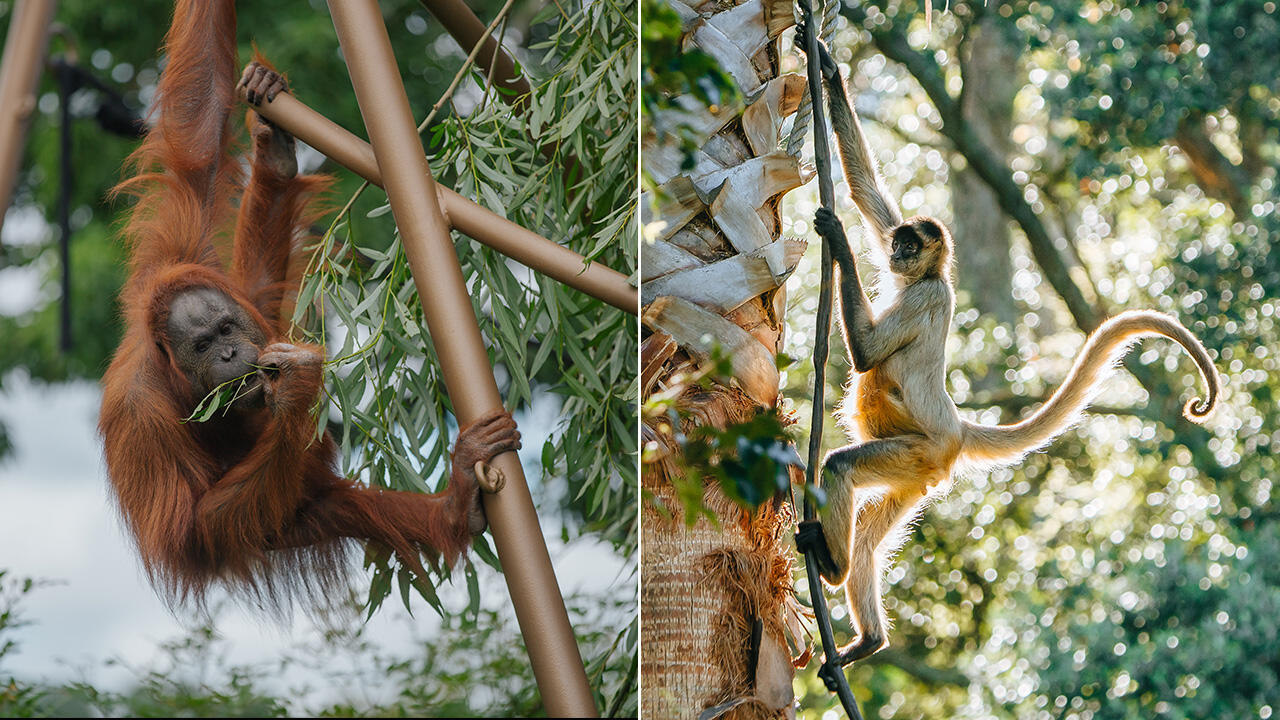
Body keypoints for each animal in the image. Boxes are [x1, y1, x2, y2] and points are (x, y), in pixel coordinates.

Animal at [801, 37, 1220, 664]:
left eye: (909, 246)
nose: (897, 253)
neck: (927, 277)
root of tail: (956, 427)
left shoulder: (927, 294)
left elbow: (868, 355)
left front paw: (839, 241)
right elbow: (865, 191)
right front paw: (825, 65)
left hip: (919, 452)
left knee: (843, 466)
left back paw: (831, 569)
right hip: (917, 477)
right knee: (872, 536)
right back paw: (869, 635)